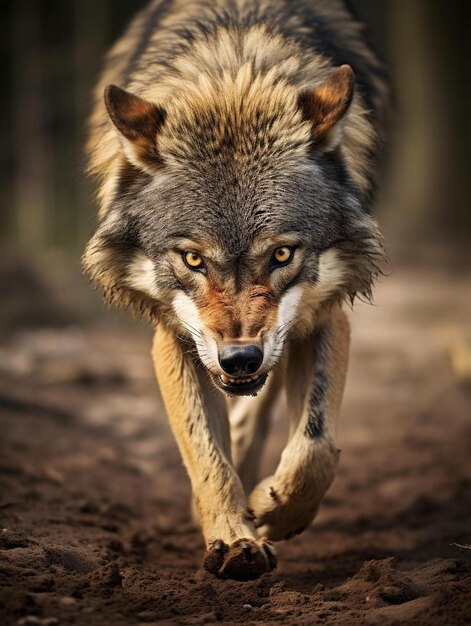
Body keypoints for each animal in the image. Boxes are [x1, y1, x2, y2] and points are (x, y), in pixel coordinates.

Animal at [84, 0, 390, 580]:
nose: (240, 359)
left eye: (282, 255)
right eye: (193, 259)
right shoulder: (176, 336)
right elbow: (207, 456)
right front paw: (233, 537)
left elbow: (316, 447)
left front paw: (272, 508)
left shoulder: (325, 314)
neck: (235, 69)